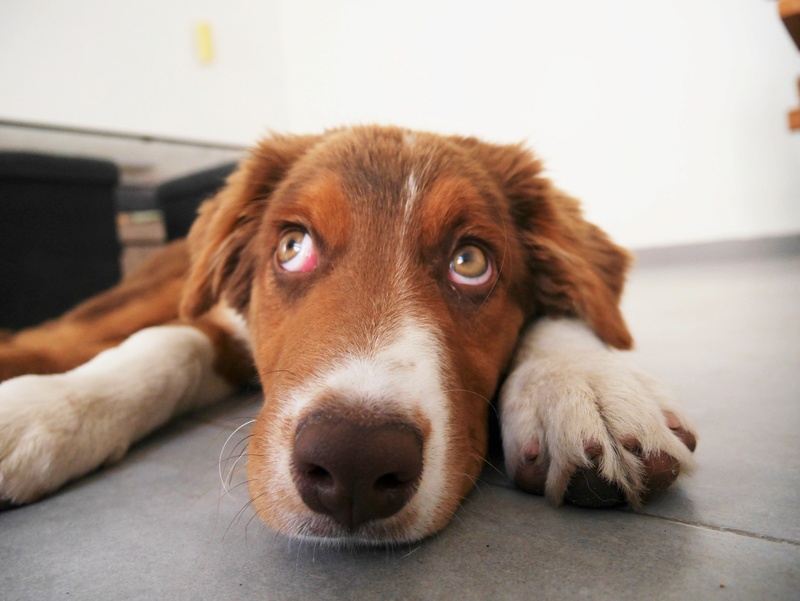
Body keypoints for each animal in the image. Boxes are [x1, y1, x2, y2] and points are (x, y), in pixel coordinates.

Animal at [0, 125, 696, 544]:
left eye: (471, 261)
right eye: (292, 247)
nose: (354, 461)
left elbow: (563, 316)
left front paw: (588, 387)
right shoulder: (217, 321)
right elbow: (168, 343)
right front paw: (40, 412)